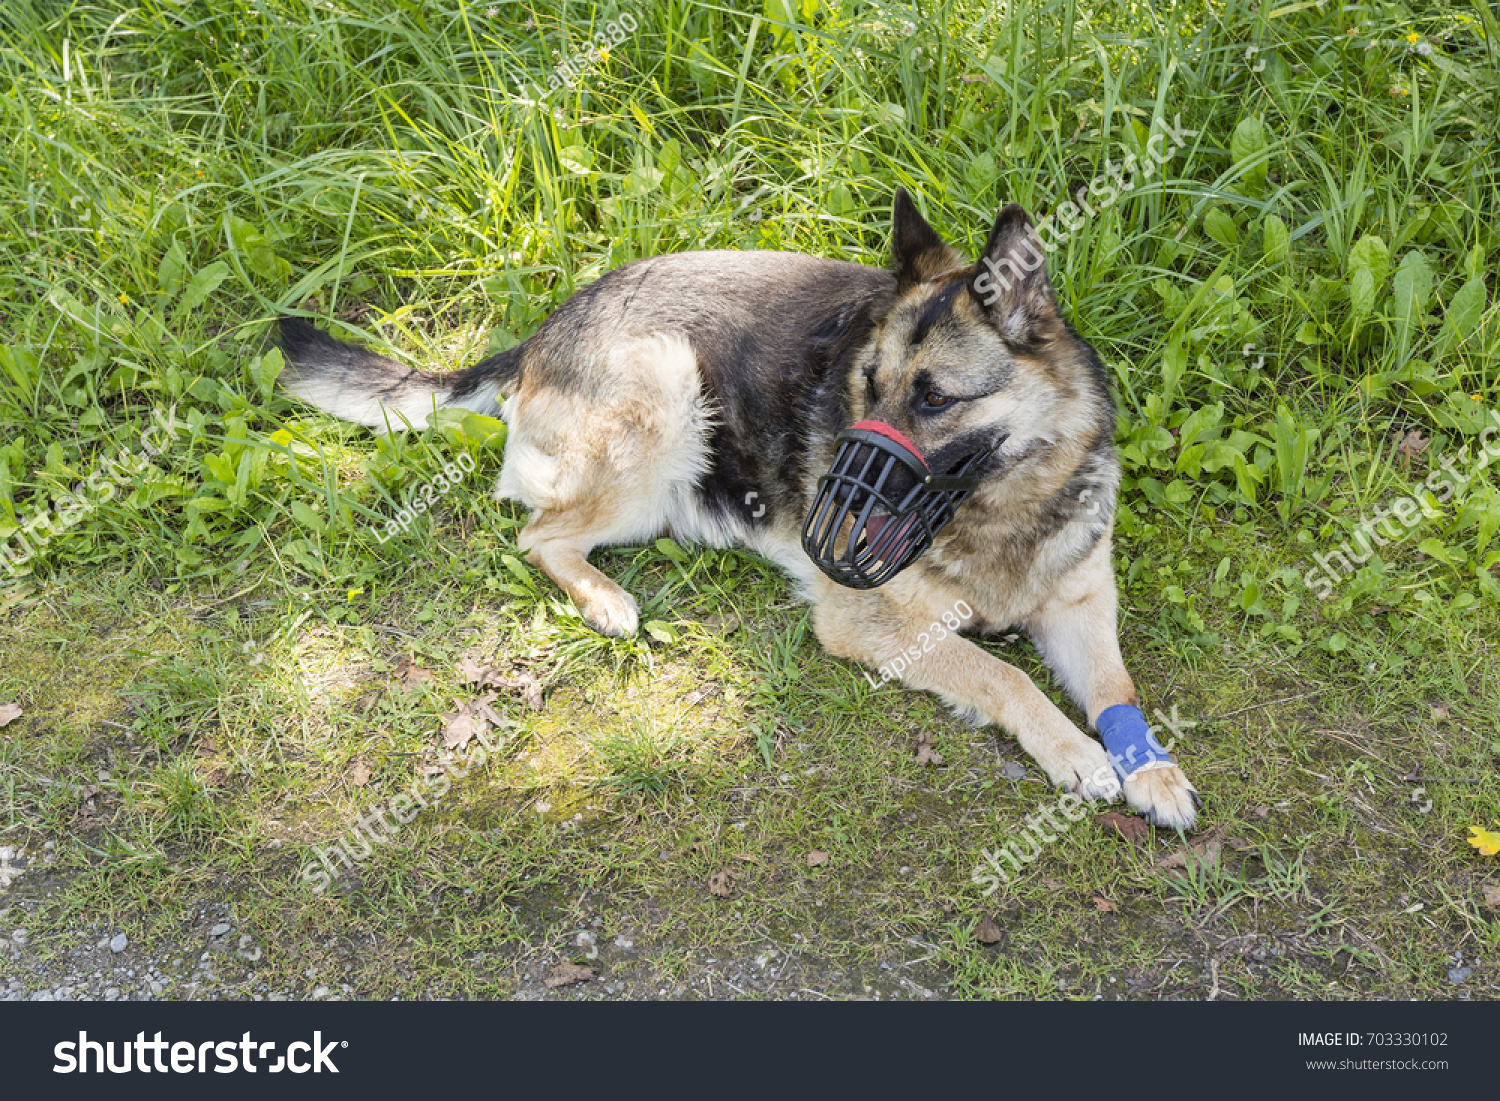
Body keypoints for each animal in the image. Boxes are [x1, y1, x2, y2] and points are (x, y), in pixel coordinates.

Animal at [276, 192, 1200, 828]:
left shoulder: (1082, 602)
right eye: (866, 385)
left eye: (934, 398)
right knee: (538, 532)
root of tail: (547, 326)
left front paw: (1150, 766)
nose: (835, 510)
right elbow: (1004, 674)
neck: (1004, 501)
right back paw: (606, 600)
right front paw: (1076, 752)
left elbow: (1116, 683)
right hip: (664, 393)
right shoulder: (871, 626)